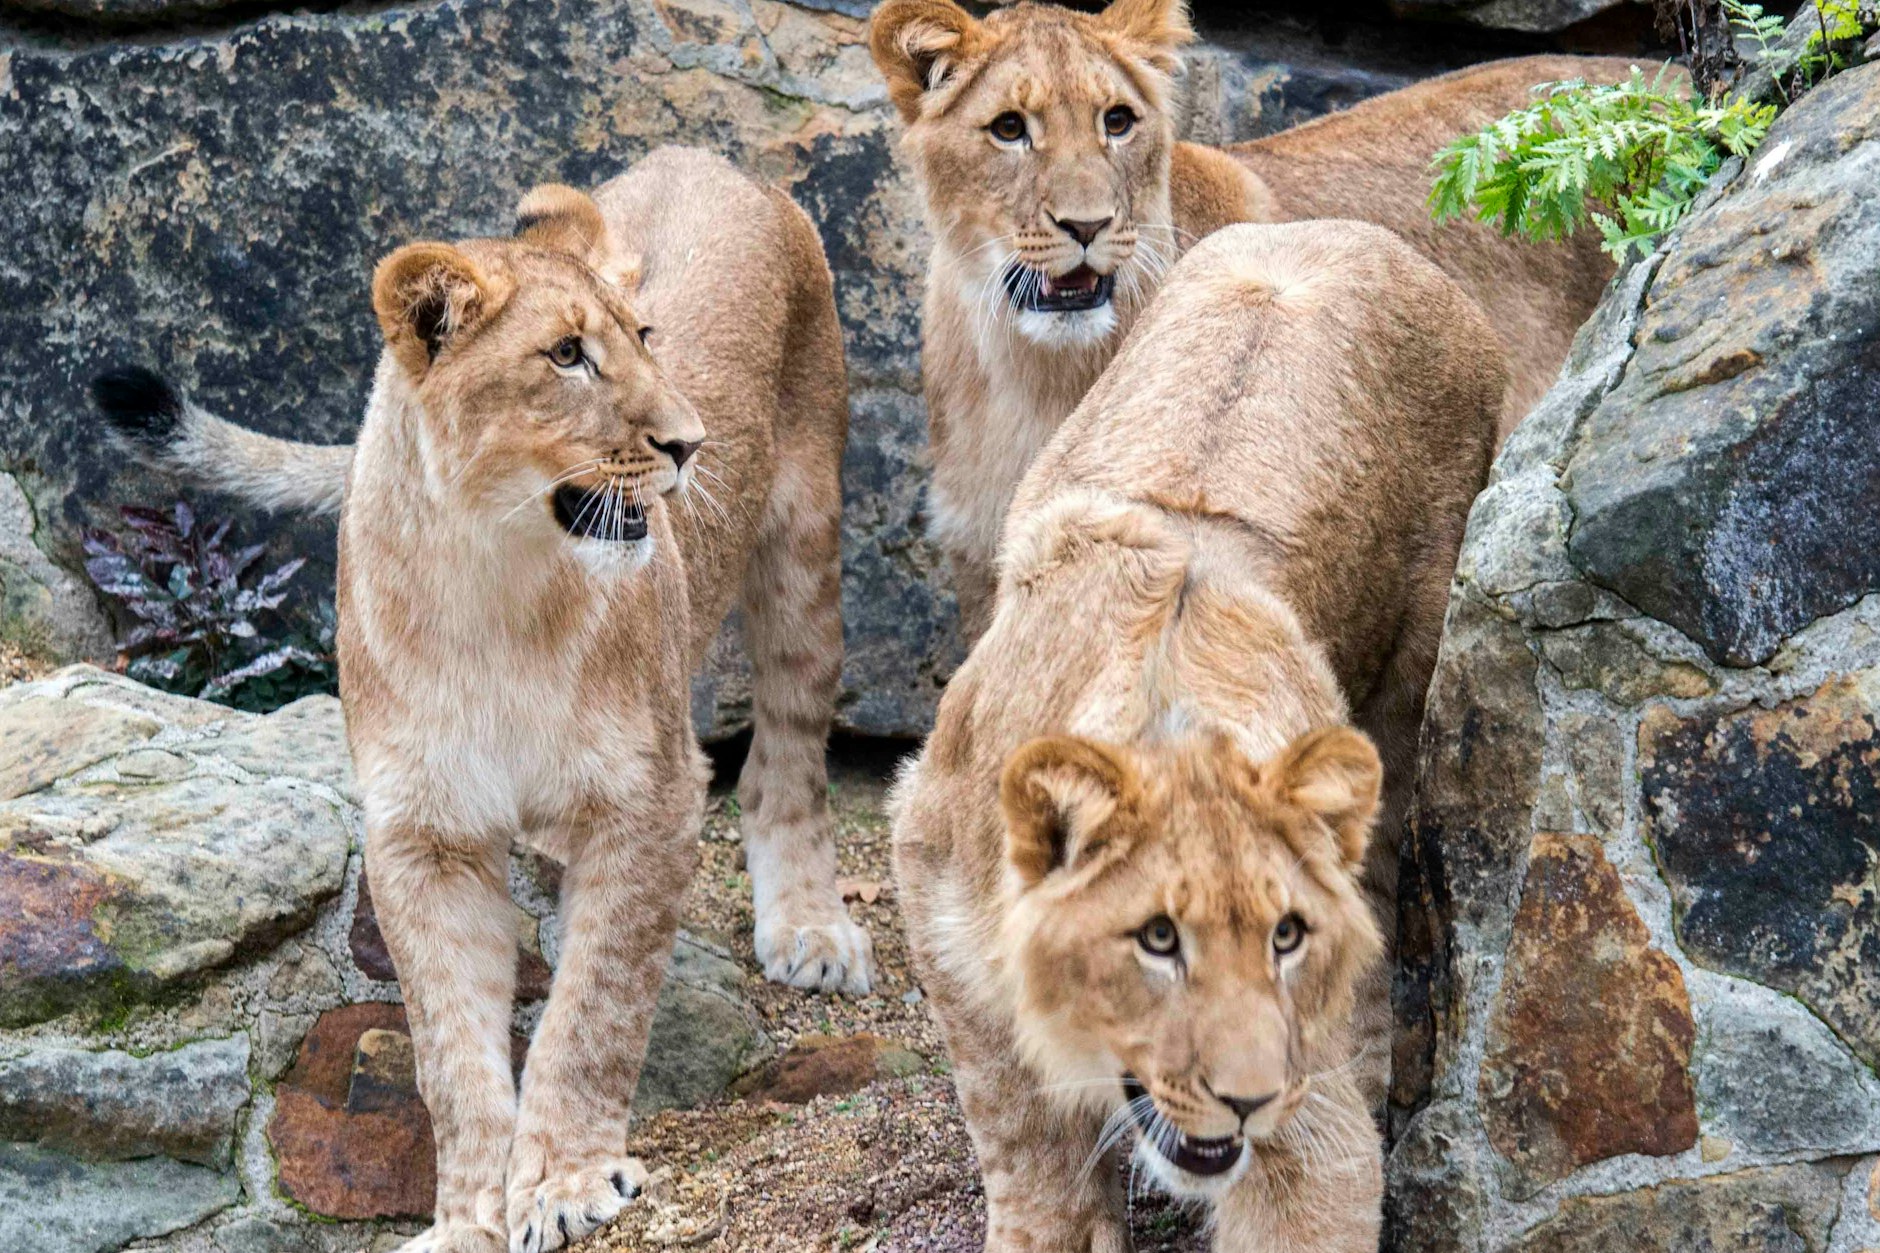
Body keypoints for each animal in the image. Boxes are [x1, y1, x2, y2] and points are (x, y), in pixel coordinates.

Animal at [93, 147, 871, 1253]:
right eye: (565, 356)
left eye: (643, 340)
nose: (690, 443)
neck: (495, 585)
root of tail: (701, 156)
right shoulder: (425, 834)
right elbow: (450, 1054)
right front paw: (469, 1216)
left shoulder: (650, 798)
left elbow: (592, 1009)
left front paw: (566, 1180)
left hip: (804, 535)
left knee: (788, 756)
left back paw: (809, 928)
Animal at [889, 220, 1504, 1251]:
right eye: (1157, 940)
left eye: (1286, 937)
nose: (1248, 1094)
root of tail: (1349, 231)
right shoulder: (940, 904)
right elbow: (1036, 1170)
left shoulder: (1308, 1125)